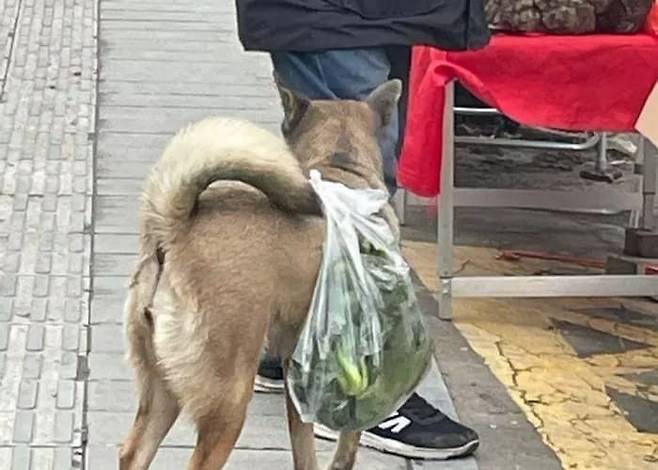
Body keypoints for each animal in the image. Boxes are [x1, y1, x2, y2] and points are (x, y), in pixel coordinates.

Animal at [118, 78, 402, 470]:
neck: (340, 163)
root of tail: (172, 230)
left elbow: (304, 447)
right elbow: (348, 442)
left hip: (163, 388)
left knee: (133, 452)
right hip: (228, 398)